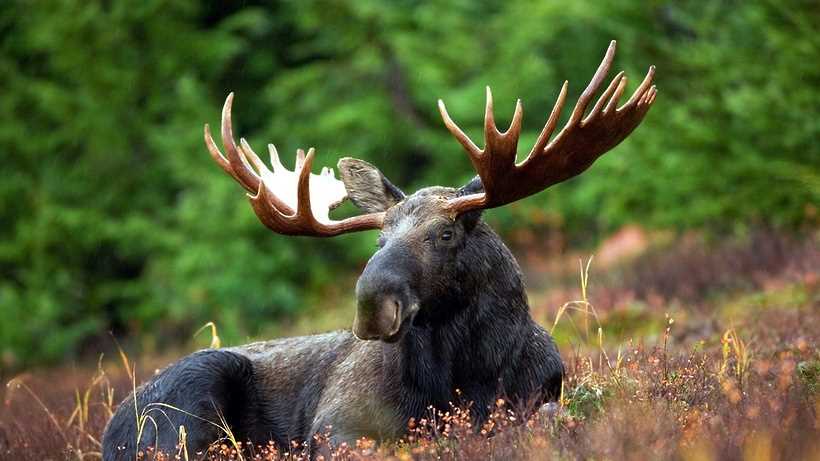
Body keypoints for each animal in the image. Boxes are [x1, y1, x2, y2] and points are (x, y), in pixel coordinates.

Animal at [102, 41, 656, 458]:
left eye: (445, 233)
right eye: (379, 239)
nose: (371, 305)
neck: (469, 377)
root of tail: (110, 430)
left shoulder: (541, 394)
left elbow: (549, 415)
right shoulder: (337, 425)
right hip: (191, 396)